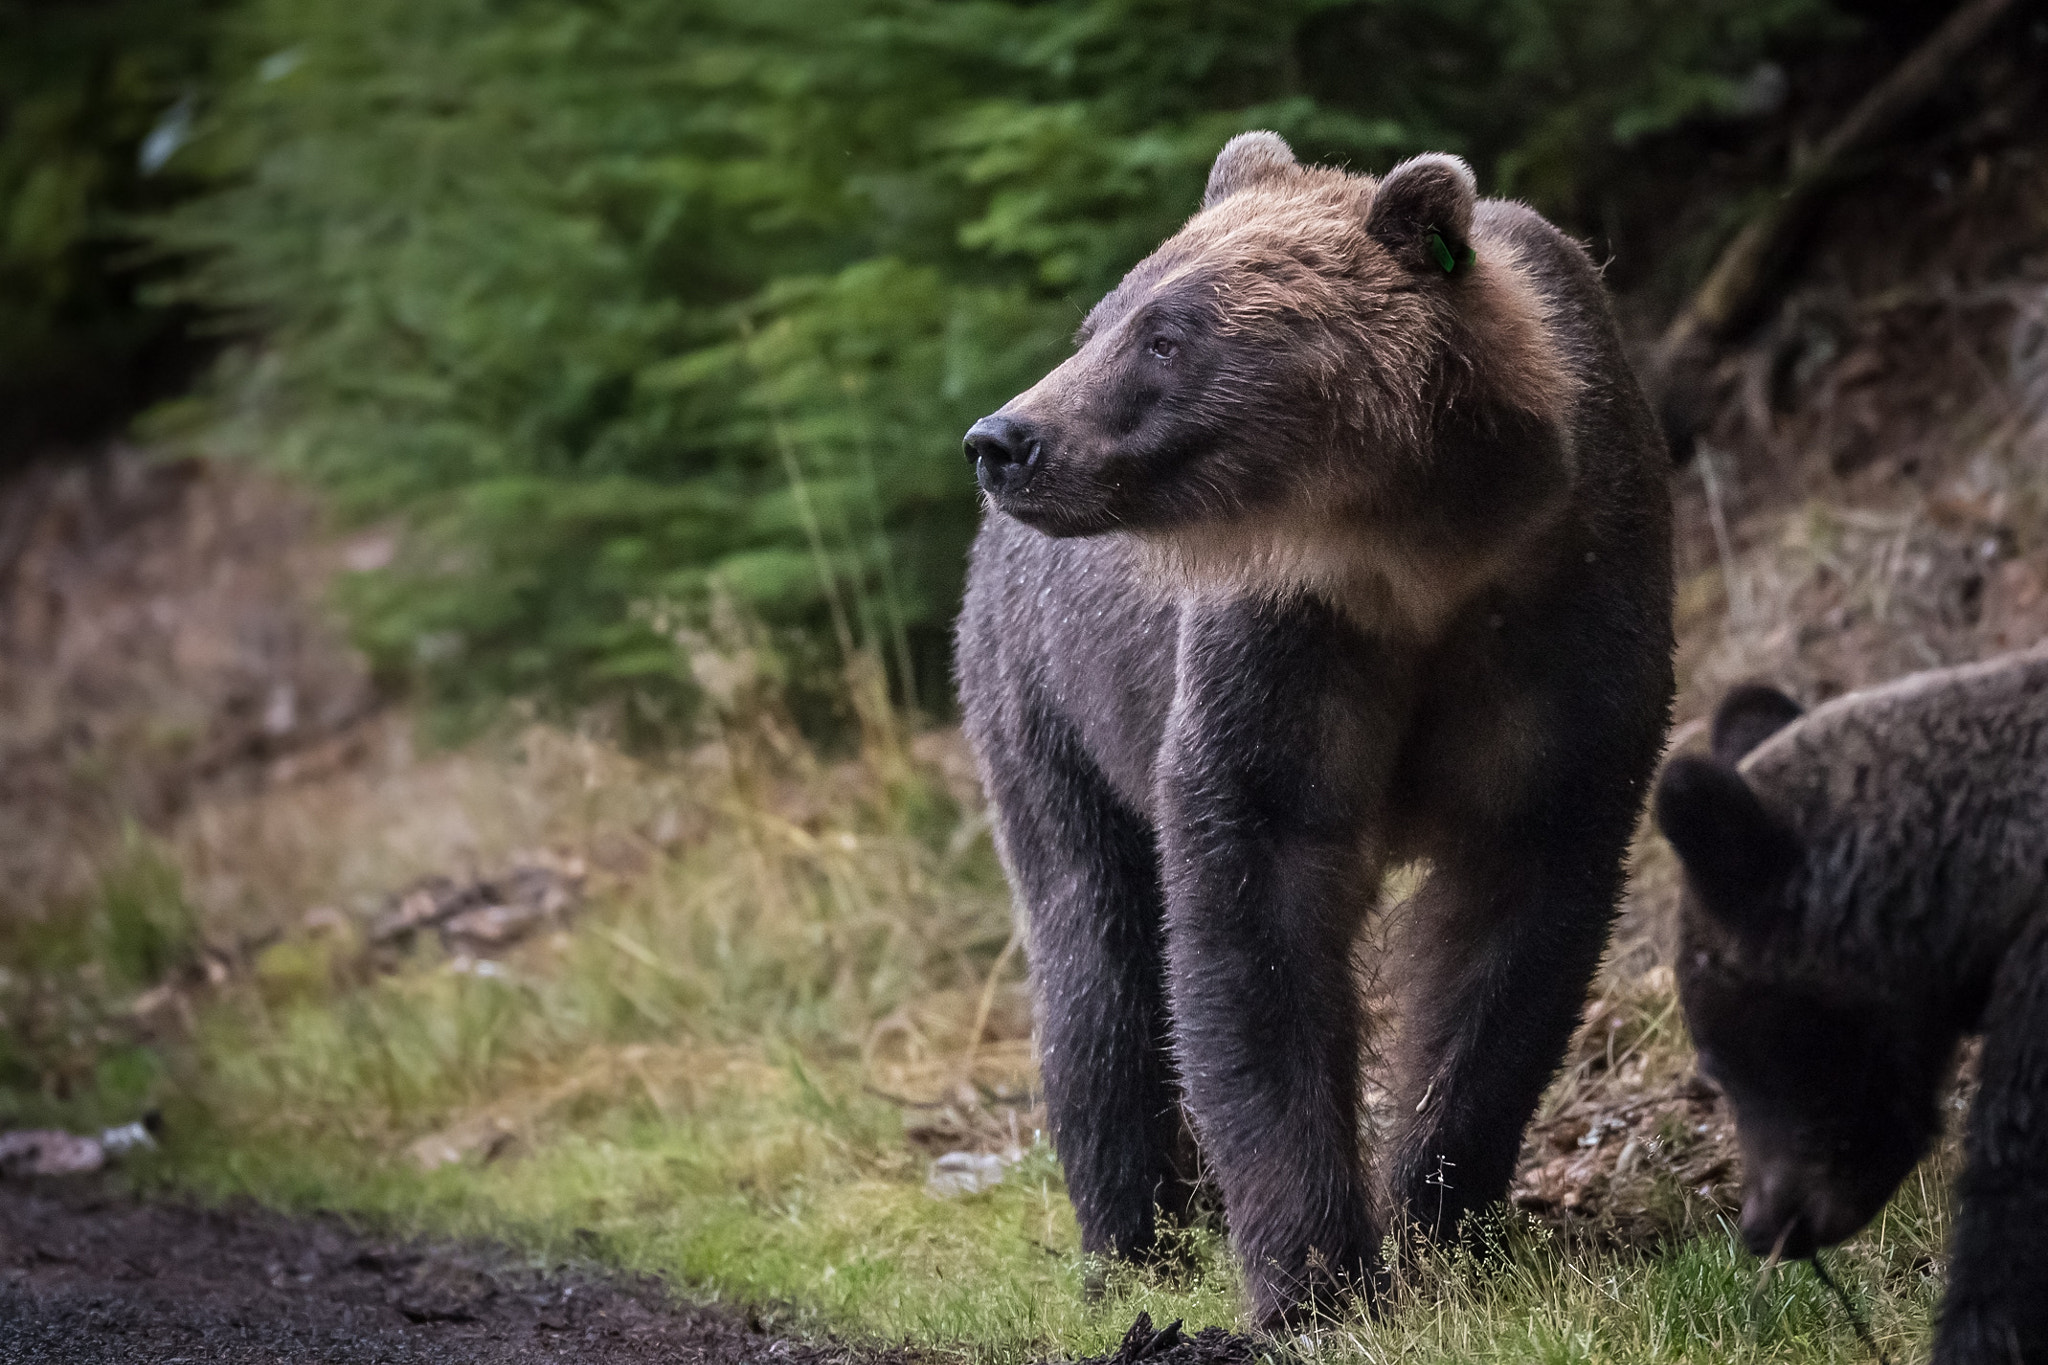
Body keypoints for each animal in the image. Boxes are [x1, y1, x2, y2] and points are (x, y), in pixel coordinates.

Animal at [950, 133, 1671, 1326]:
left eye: (1167, 335)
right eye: (1101, 321)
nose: (1005, 439)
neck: (1416, 555)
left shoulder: (1563, 618)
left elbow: (1513, 934)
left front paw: (1442, 1216)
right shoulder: (1286, 647)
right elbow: (1254, 922)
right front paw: (1314, 1276)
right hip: (1045, 698)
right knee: (1093, 954)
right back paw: (1133, 1244)